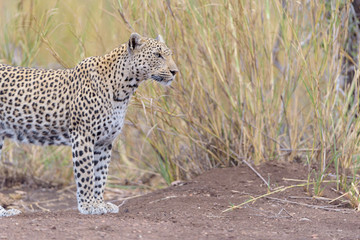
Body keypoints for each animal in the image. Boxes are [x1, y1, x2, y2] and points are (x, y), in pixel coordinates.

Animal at [0, 32, 179, 217]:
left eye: (170, 54)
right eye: (157, 55)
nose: (175, 71)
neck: (124, 89)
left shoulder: (105, 142)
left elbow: (100, 175)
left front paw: (99, 203)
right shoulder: (83, 136)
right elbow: (86, 174)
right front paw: (87, 205)